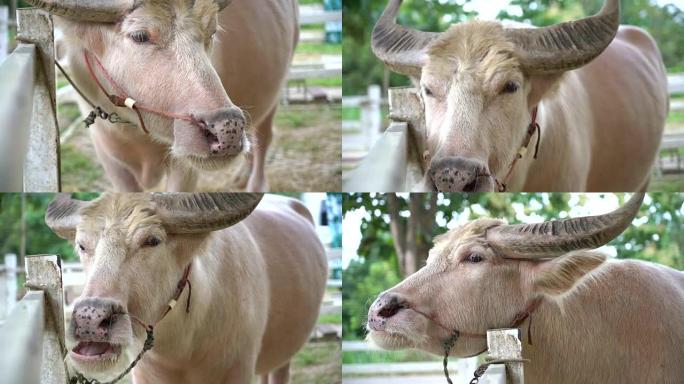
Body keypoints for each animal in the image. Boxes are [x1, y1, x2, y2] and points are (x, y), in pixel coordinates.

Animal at [26, 0, 296, 192]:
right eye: (140, 36)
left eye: (211, 33)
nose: (228, 129)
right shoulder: (110, 158)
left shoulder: (184, 167)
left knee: (264, 136)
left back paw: (256, 185)